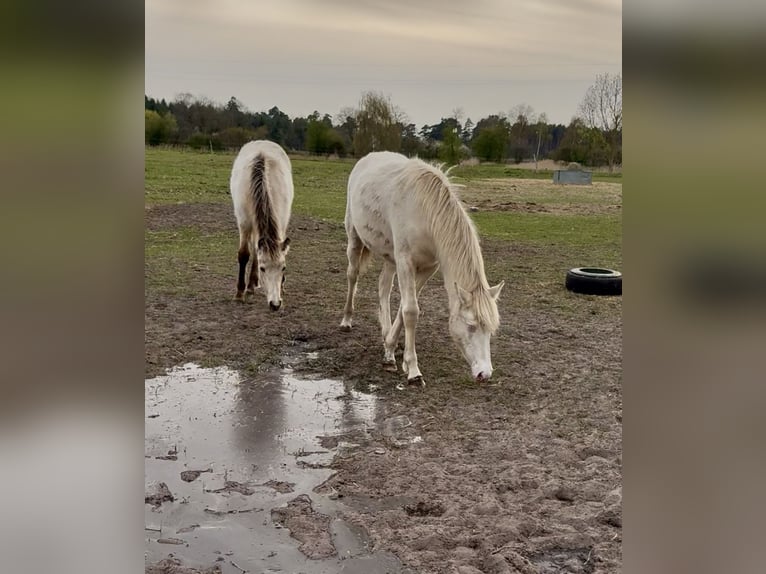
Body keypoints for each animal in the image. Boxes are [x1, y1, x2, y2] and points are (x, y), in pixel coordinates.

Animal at [230, 140, 293, 310]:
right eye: (263, 269)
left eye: (283, 268)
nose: (275, 304)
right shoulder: (244, 223)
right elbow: (244, 254)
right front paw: (239, 293)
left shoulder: (281, 221)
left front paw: (282, 286)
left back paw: (252, 285)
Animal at [340, 151, 504, 384]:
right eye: (471, 326)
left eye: (491, 329)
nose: (485, 373)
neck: (425, 213)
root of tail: (368, 158)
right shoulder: (405, 261)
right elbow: (410, 311)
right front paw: (413, 370)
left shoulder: (427, 267)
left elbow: (404, 308)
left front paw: (389, 350)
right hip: (355, 238)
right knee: (352, 275)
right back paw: (346, 320)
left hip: (390, 258)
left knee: (383, 287)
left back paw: (385, 333)